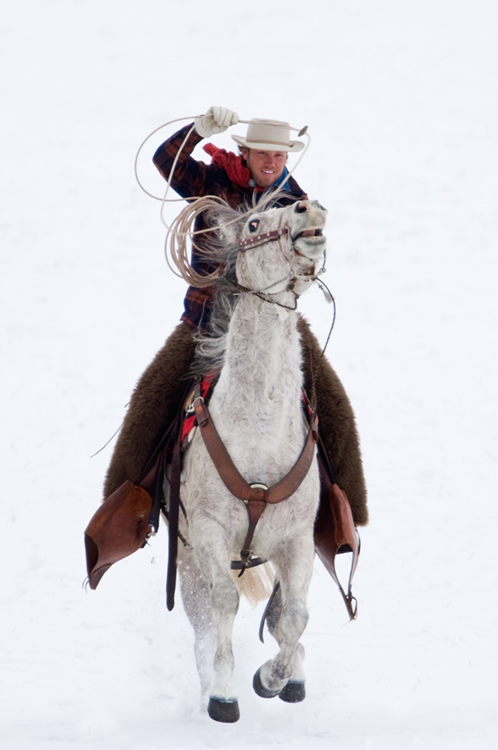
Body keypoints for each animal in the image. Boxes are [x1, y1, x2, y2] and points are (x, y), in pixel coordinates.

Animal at [169, 196, 328, 723]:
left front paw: (274, 679)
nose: (308, 208)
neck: (259, 430)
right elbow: (225, 601)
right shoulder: (210, 534)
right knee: (202, 622)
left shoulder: (297, 541)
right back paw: (206, 690)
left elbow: (294, 615)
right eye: (255, 222)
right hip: (188, 563)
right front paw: (224, 695)